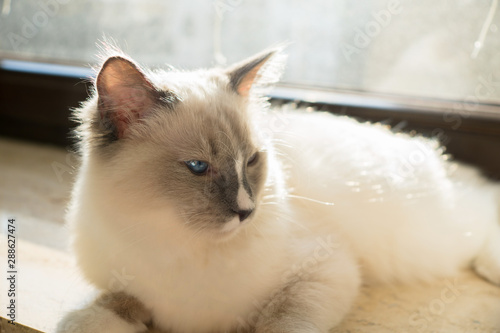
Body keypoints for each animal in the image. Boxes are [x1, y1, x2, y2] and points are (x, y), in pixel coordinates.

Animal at [55, 46, 500, 332]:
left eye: (251, 161)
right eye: (199, 167)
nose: (246, 211)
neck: (179, 245)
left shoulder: (320, 273)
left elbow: (279, 323)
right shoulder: (130, 289)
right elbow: (104, 310)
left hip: (439, 234)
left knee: (486, 203)